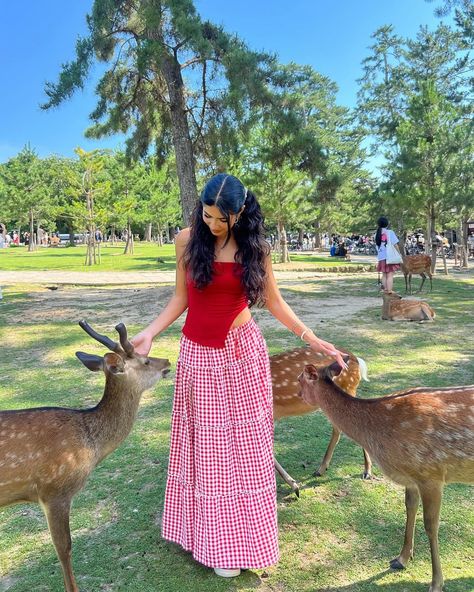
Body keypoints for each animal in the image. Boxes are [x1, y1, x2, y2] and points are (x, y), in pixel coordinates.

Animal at [270, 346, 370, 494]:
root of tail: (356, 358)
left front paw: (295, 486)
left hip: (349, 388)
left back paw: (367, 471)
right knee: (337, 429)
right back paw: (321, 469)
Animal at [300, 360, 474, 592]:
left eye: (299, 379)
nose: (298, 394)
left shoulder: (431, 474)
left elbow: (431, 526)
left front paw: (436, 582)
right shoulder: (411, 477)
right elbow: (409, 509)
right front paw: (401, 559)